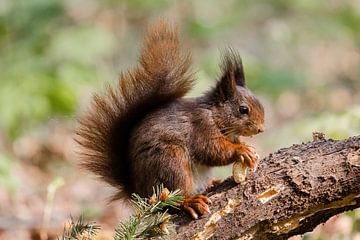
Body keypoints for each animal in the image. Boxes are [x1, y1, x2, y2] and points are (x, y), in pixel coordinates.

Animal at [76, 20, 264, 219]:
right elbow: (212, 150)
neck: (214, 115)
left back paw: (212, 182)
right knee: (172, 199)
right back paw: (190, 201)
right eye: (243, 109)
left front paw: (250, 150)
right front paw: (241, 150)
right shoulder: (201, 127)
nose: (261, 129)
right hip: (170, 162)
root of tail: (141, 193)